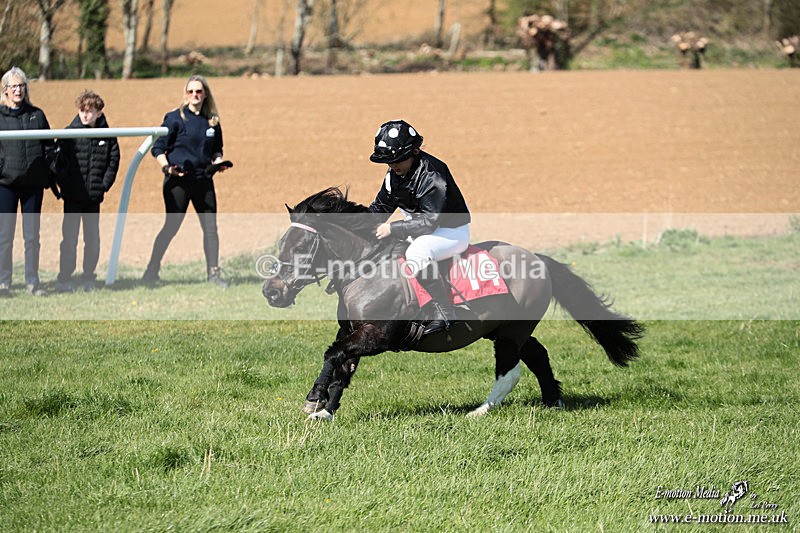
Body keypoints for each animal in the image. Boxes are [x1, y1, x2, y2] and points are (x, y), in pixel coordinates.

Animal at [262, 187, 644, 420]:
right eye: (283, 244)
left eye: (300, 246)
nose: (272, 292)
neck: (365, 268)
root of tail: (538, 259)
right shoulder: (355, 333)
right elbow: (342, 365)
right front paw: (324, 410)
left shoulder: (377, 336)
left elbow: (333, 355)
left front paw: (313, 398)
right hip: (504, 328)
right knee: (537, 355)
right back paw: (553, 401)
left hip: (510, 333)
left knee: (511, 370)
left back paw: (480, 411)